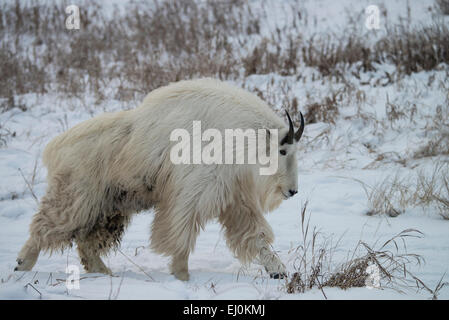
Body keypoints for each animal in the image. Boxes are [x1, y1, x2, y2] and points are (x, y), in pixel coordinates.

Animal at [16, 79, 304, 280]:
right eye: (282, 151)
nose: (292, 191)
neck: (239, 138)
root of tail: (55, 147)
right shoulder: (192, 191)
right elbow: (180, 232)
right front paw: (181, 275)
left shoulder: (234, 196)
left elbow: (255, 235)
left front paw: (278, 271)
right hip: (77, 195)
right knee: (47, 225)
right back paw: (22, 263)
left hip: (110, 207)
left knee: (87, 243)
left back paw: (104, 272)